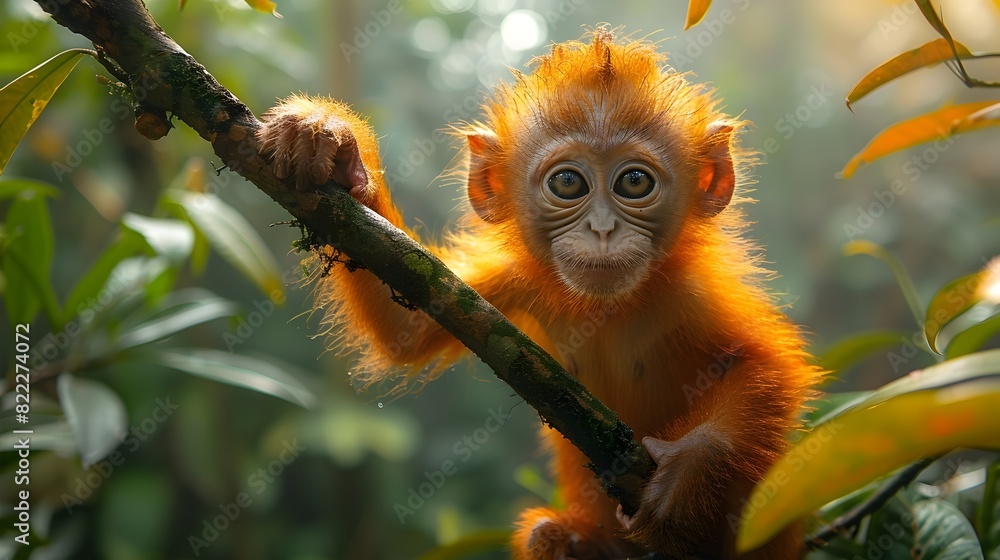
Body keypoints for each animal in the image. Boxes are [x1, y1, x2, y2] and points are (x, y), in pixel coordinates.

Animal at [257, 28, 823, 559]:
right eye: (568, 183)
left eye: (634, 183)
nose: (602, 229)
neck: (606, 308)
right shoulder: (515, 277)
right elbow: (407, 327)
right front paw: (332, 147)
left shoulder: (696, 289)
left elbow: (770, 361)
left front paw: (690, 467)